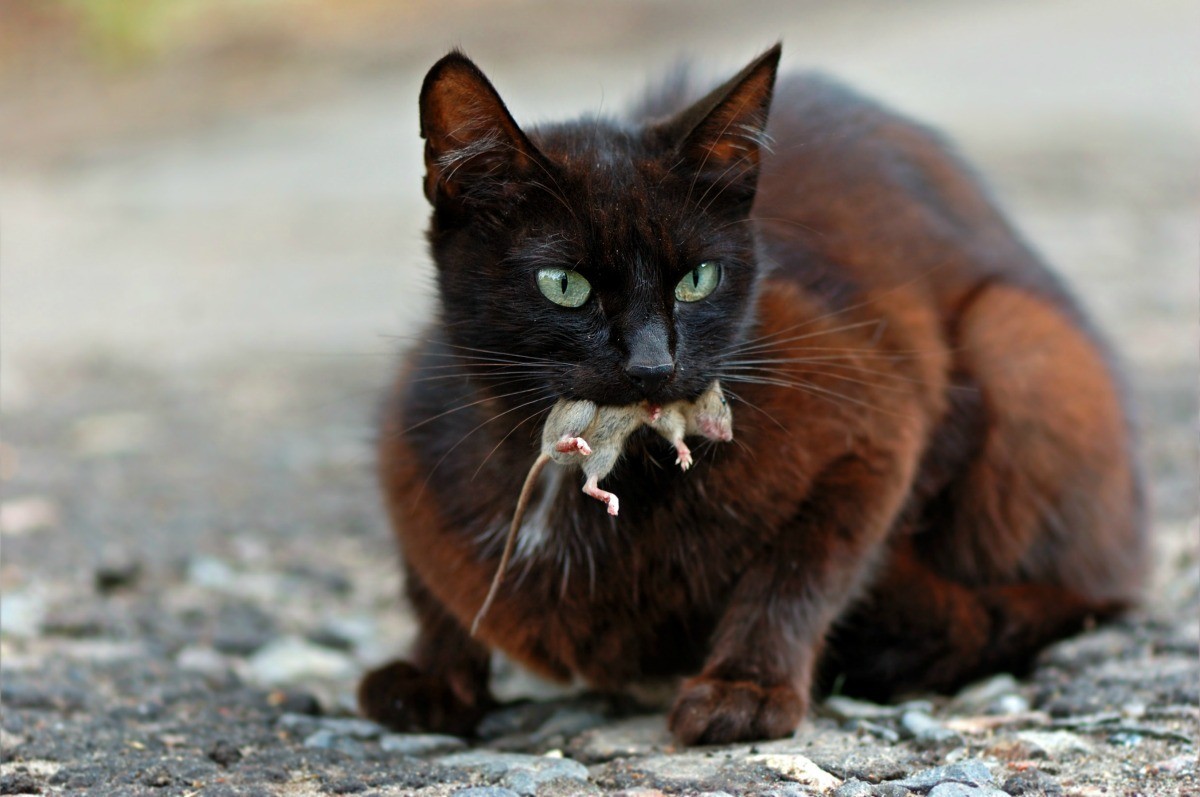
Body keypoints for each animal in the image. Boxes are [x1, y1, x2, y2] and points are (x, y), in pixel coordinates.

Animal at [355, 42, 1142, 739]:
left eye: (698, 278)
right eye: (564, 285)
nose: (652, 364)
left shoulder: (878, 428)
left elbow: (800, 570)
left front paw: (747, 686)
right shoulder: (409, 439)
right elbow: (434, 586)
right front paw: (435, 674)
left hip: (1019, 336)